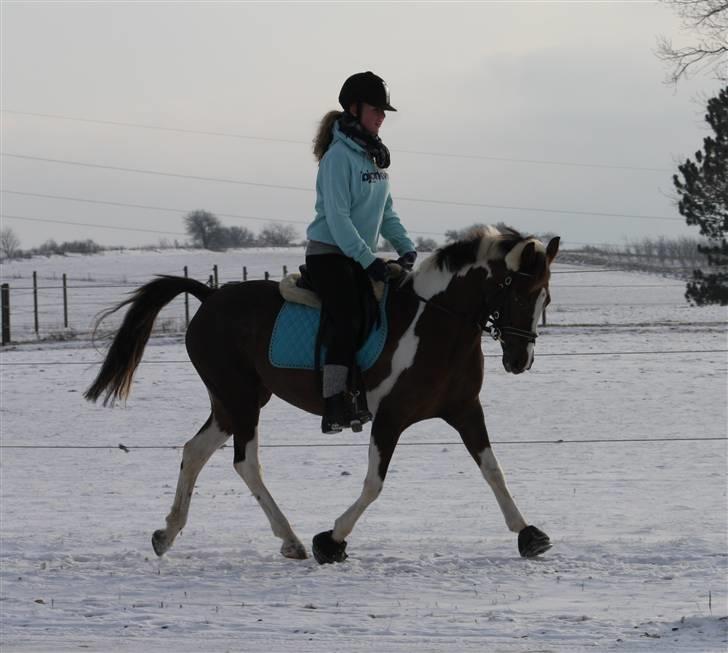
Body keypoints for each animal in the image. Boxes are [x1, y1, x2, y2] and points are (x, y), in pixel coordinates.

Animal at [86, 224, 564, 560]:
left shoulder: (465, 409)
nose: (520, 360)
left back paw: (167, 534)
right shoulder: (389, 418)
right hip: (240, 398)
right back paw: (293, 540)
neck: (435, 325)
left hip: (232, 401)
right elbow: (373, 484)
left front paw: (529, 535)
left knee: (195, 451)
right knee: (246, 463)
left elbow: (493, 471)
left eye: (546, 298)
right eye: (521, 294)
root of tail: (210, 297)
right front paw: (330, 541)